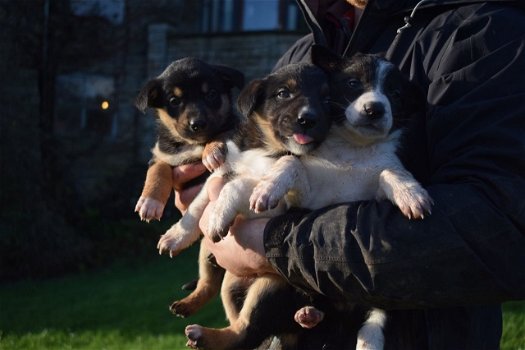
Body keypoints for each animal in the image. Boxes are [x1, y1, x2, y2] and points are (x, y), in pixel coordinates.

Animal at [133, 56, 244, 318]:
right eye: (174, 101)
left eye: (211, 94)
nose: (197, 124)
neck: (192, 144)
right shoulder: (162, 155)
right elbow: (158, 172)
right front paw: (149, 203)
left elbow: (221, 135)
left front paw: (212, 150)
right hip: (206, 251)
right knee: (209, 283)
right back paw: (186, 305)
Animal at [154, 63, 330, 350]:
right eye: (284, 93)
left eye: (327, 98)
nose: (309, 119)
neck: (265, 147)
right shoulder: (219, 172)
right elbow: (196, 208)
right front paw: (175, 236)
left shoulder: (275, 199)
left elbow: (237, 187)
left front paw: (217, 217)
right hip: (227, 278)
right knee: (215, 291)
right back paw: (188, 305)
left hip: (271, 284)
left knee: (247, 332)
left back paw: (202, 334)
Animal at [251, 46, 434, 350]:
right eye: (353, 83)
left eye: (395, 94)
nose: (375, 109)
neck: (353, 150)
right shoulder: (309, 196)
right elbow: (292, 162)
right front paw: (267, 188)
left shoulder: (377, 191)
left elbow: (391, 171)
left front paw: (411, 193)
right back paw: (308, 314)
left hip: (383, 295)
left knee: (376, 319)